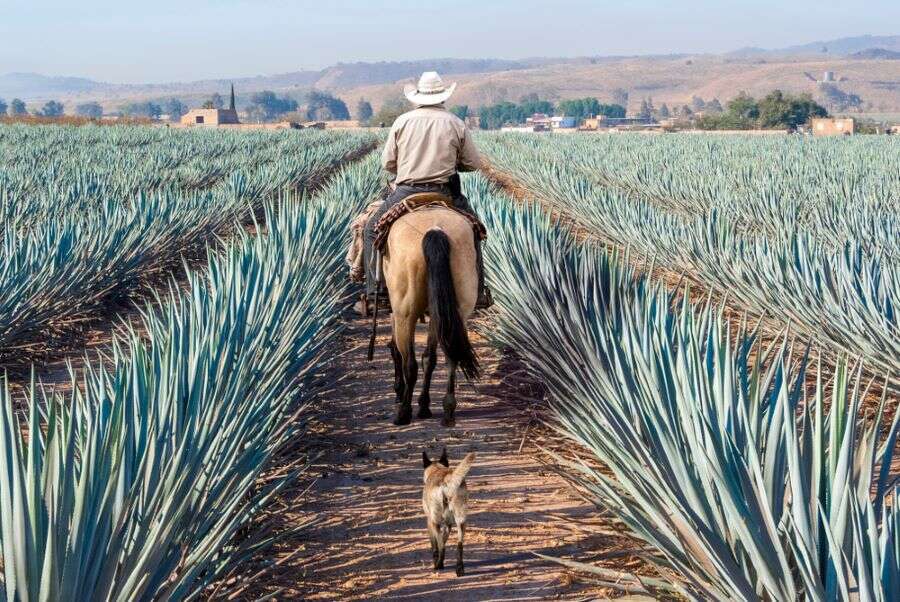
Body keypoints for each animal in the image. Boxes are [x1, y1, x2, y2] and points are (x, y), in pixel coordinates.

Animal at [380, 204, 478, 424]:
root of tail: (435, 229)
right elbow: (430, 359)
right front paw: (424, 405)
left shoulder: (395, 313)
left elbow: (396, 351)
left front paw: (399, 392)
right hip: (456, 308)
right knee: (450, 355)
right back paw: (447, 409)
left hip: (405, 312)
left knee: (410, 363)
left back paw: (403, 412)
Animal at [424, 448, 474, 576]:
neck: (437, 469)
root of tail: (446, 479)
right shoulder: (449, 524)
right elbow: (444, 539)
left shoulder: (429, 522)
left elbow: (436, 545)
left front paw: (437, 561)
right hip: (461, 522)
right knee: (459, 545)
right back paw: (459, 569)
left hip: (435, 522)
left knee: (441, 546)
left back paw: (438, 565)